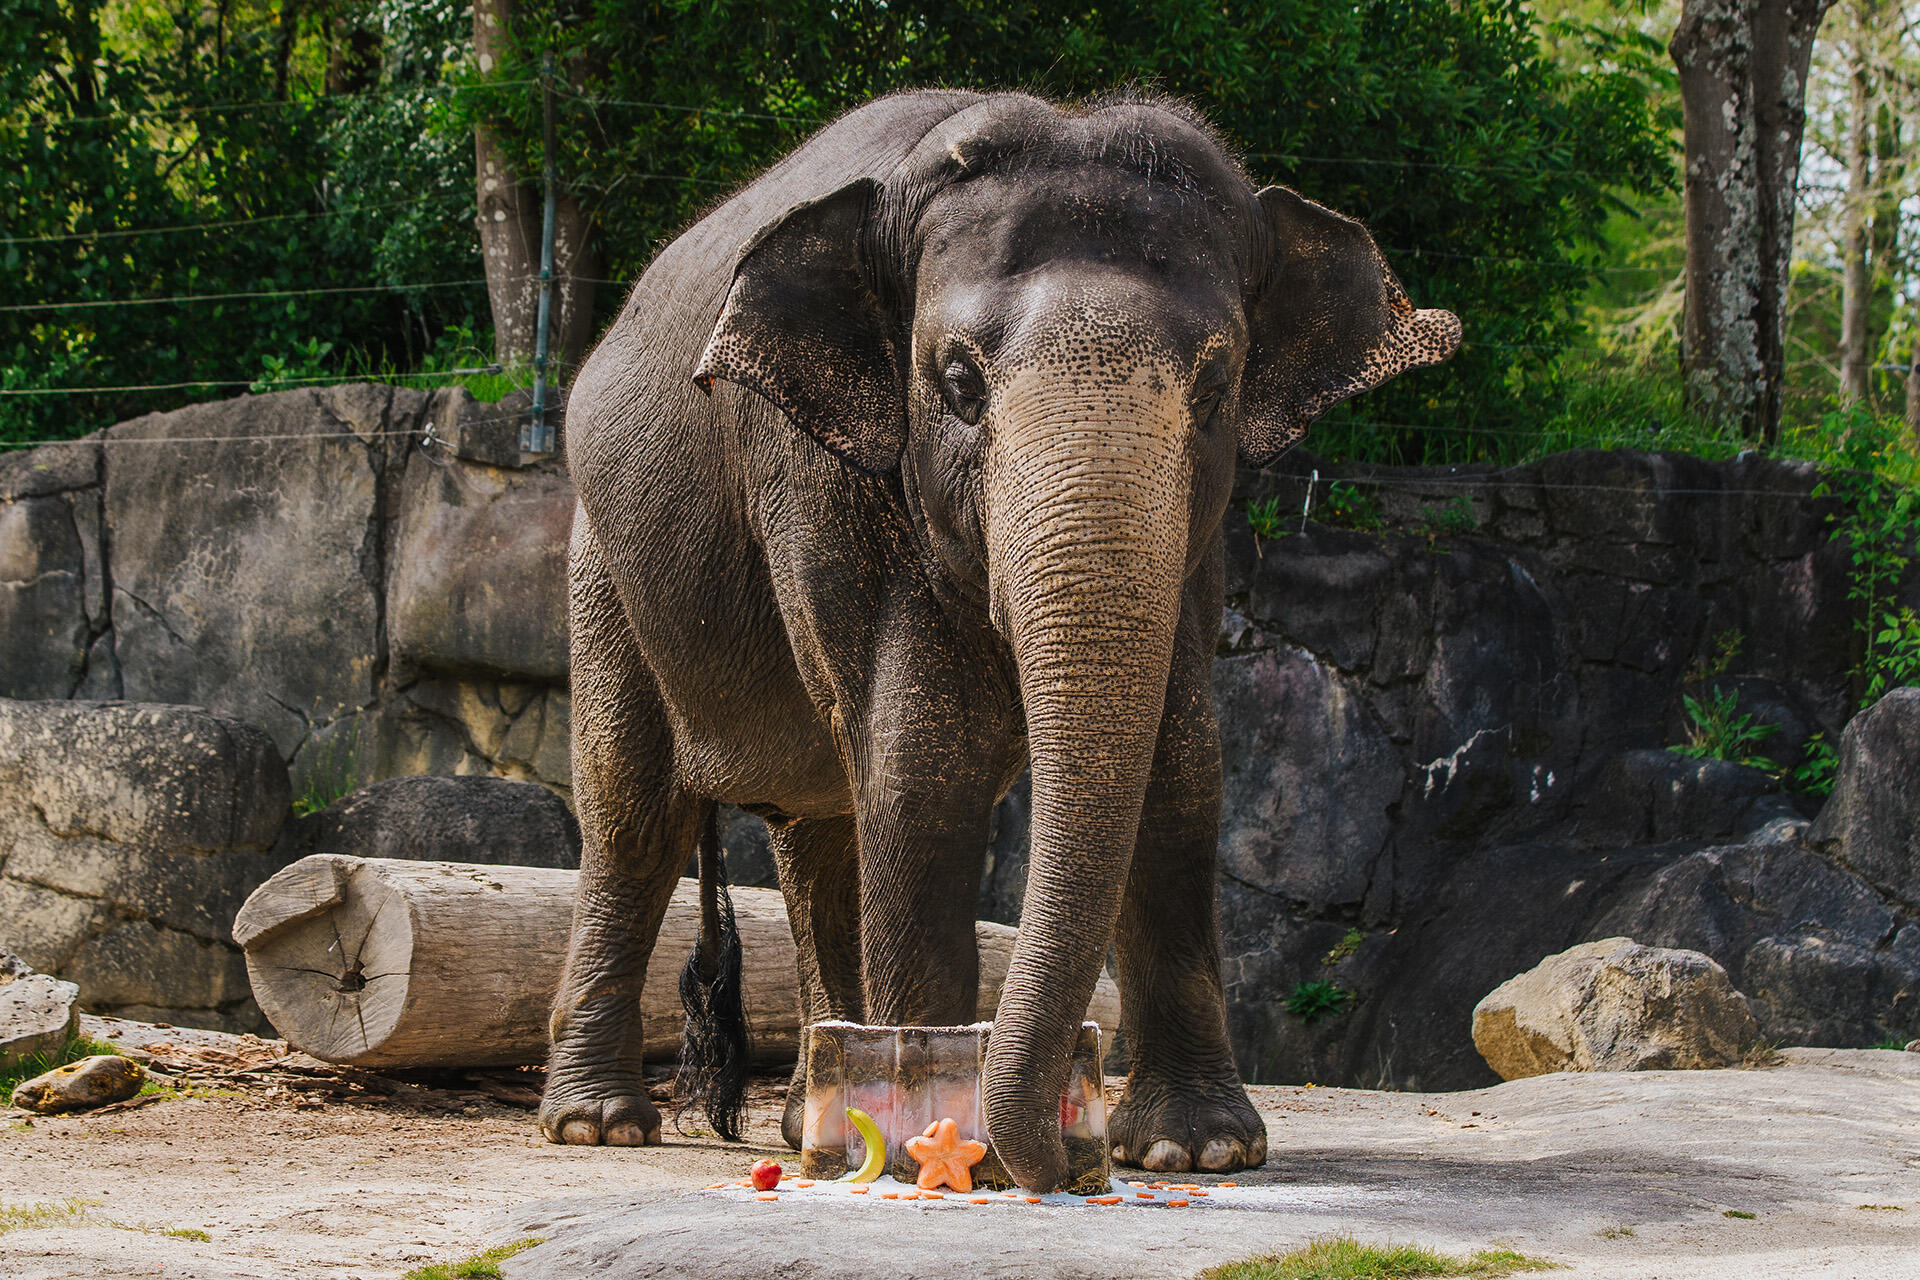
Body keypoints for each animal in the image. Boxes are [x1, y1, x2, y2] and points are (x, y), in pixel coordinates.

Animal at [541, 87, 1460, 1193]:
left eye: (1217, 387)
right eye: (957, 383)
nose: (1062, 1159)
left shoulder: (1200, 549)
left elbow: (1182, 770)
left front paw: (1200, 1147)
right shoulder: (822, 478)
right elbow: (920, 769)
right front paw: (939, 1131)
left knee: (819, 832)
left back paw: (807, 1115)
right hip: (602, 563)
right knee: (636, 812)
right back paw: (598, 1126)